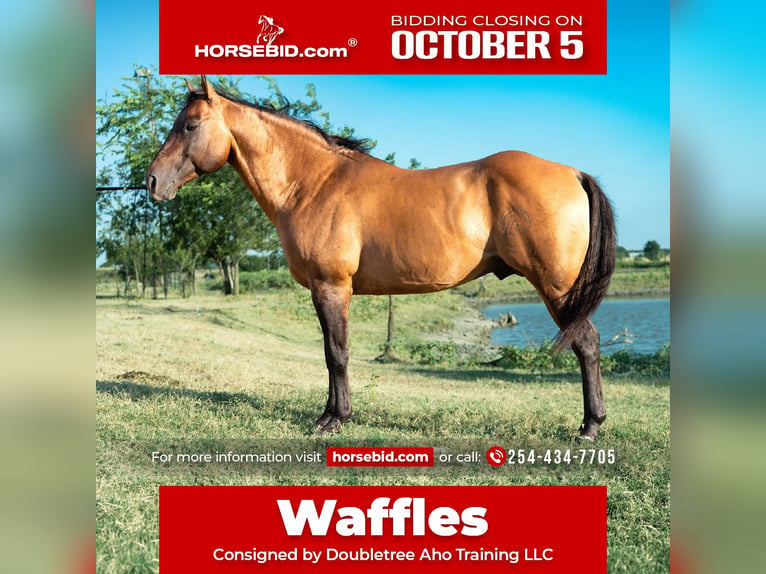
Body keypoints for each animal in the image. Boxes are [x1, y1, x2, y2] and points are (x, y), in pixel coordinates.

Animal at [146, 76, 616, 440]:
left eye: (190, 125)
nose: (151, 181)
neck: (313, 183)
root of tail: (573, 173)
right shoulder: (327, 290)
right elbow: (330, 351)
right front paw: (332, 414)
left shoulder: (331, 287)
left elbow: (336, 352)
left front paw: (333, 420)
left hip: (558, 287)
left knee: (587, 343)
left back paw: (589, 427)